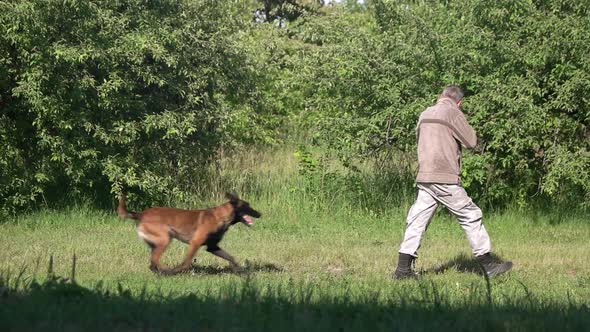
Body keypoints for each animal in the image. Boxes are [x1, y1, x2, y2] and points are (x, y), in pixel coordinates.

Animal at [118, 192, 262, 274]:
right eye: (247, 206)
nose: (260, 214)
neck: (221, 216)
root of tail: (142, 214)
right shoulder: (195, 243)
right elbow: (186, 262)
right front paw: (176, 271)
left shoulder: (213, 247)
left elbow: (230, 257)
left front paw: (239, 269)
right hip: (165, 239)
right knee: (154, 261)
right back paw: (165, 271)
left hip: (157, 243)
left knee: (152, 263)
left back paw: (160, 272)